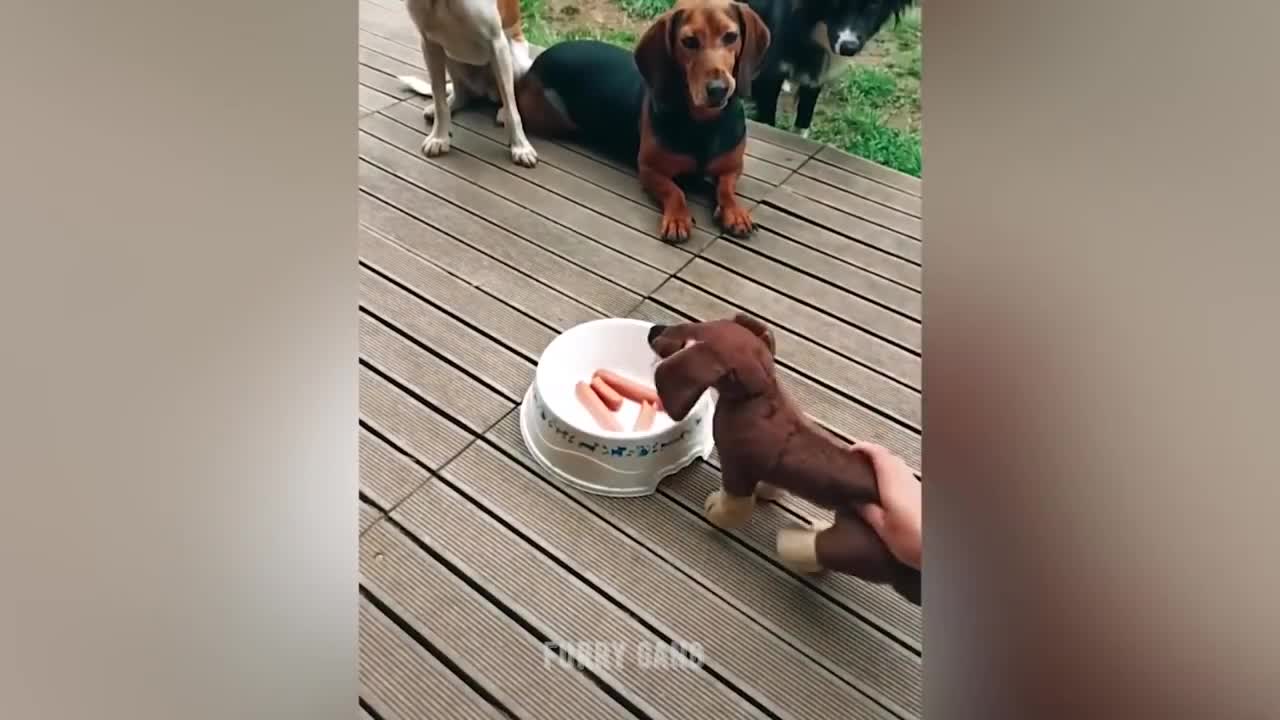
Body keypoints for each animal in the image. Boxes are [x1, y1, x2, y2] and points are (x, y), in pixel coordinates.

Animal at [401, 0, 537, 166]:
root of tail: (484, 90)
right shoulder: (429, 43)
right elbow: (440, 103)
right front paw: (439, 138)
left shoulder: (497, 43)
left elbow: (513, 110)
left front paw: (521, 147)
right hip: (450, 55)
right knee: (461, 94)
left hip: (515, 60)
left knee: (510, 96)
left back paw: (502, 111)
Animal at [747, 0, 916, 134]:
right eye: (835, 1)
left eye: (875, 4)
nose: (848, 48)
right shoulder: (770, 73)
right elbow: (768, 120)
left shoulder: (818, 74)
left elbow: (804, 119)